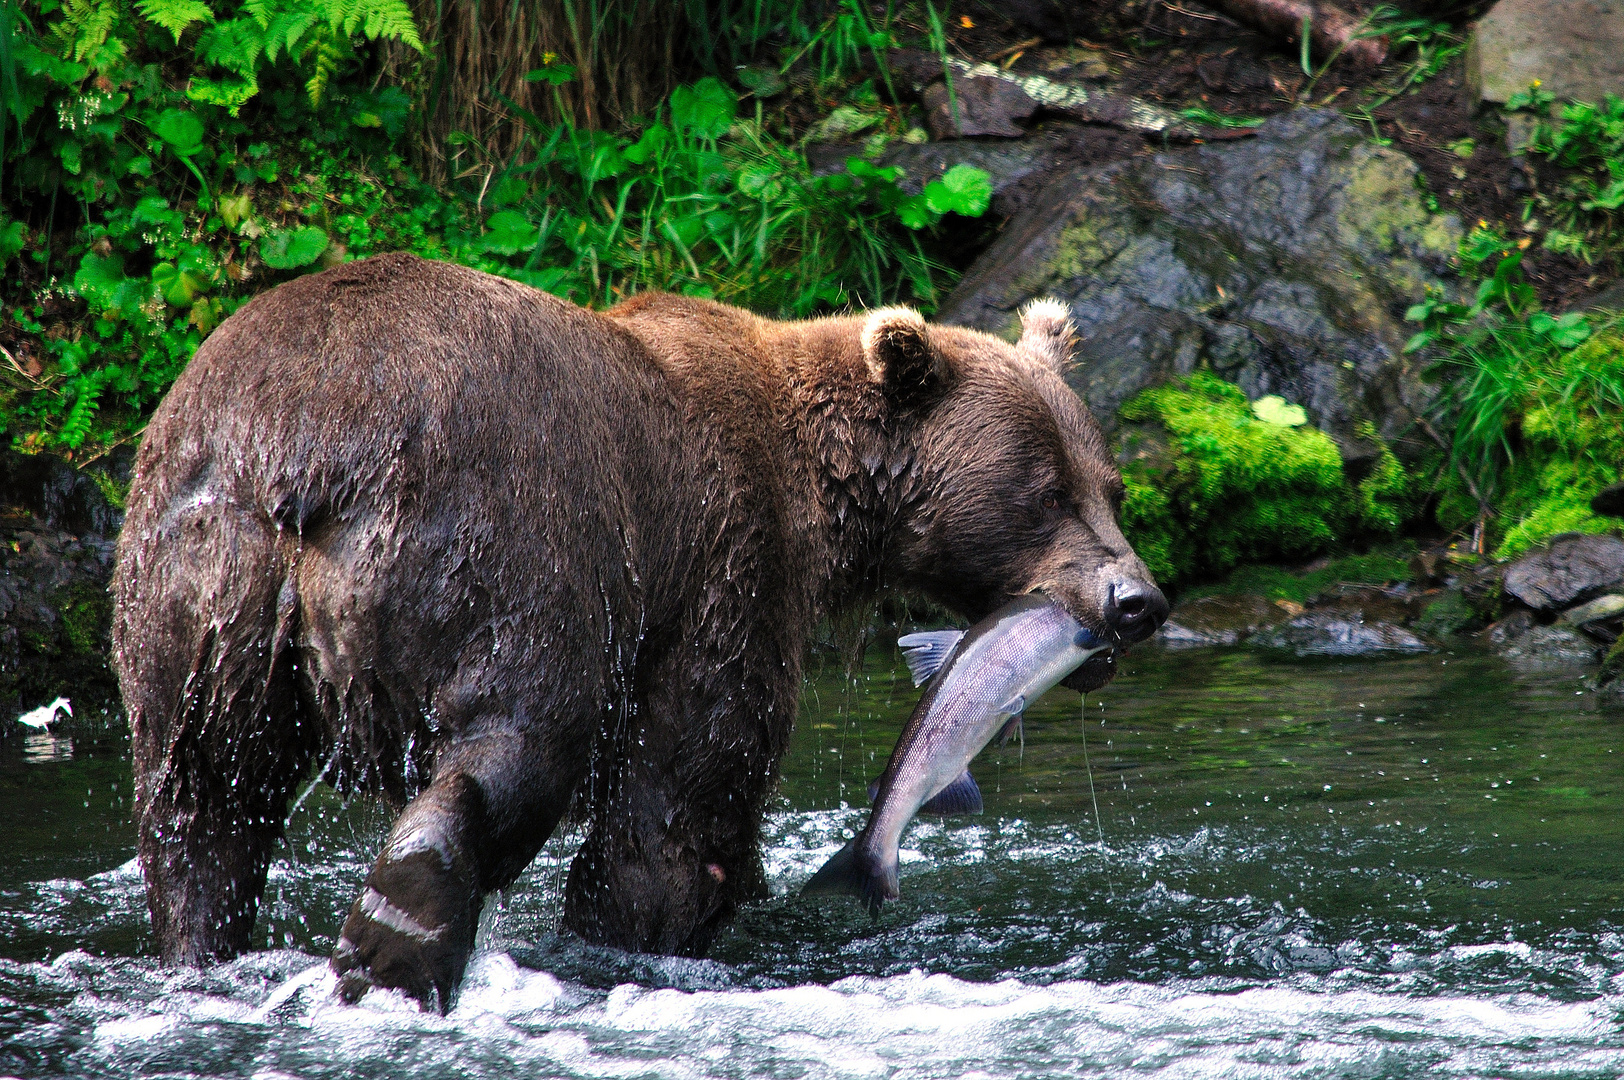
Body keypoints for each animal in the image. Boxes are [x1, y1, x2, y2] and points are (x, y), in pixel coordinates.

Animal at [107, 250, 1162, 1013]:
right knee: (515, 739)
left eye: (1109, 485)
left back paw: (210, 943)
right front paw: (663, 925)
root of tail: (302, 449)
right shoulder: (721, 564)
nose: (1138, 600)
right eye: (1044, 490)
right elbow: (681, 802)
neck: (823, 499)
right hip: (505, 542)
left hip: (194, 585)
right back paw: (396, 938)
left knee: (201, 800)